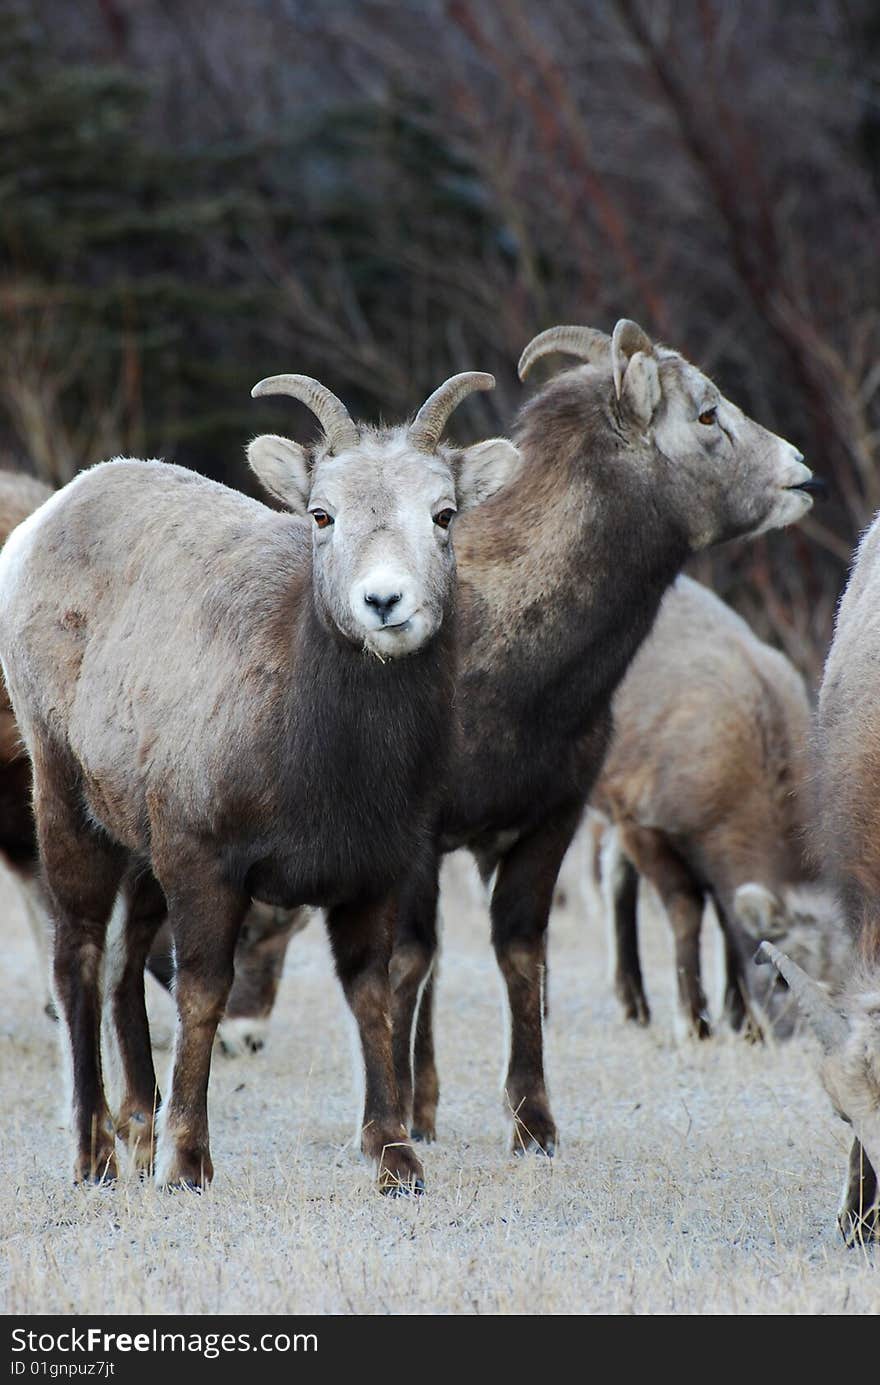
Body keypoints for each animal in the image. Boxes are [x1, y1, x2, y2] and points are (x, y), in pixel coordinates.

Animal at [0, 371, 523, 1191]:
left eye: (444, 515)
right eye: (322, 514)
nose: (384, 602)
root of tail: (46, 521)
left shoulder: (376, 875)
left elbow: (371, 998)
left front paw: (395, 1157)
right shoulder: (205, 866)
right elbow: (203, 995)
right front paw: (187, 1164)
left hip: (142, 858)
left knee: (122, 964)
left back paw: (138, 1132)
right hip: (66, 806)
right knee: (78, 956)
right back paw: (97, 1156)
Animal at [393, 318, 820, 1152]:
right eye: (708, 413)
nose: (799, 469)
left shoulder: (547, 826)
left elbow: (520, 959)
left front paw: (533, 1125)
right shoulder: (421, 841)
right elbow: (410, 964)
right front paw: (396, 1127)